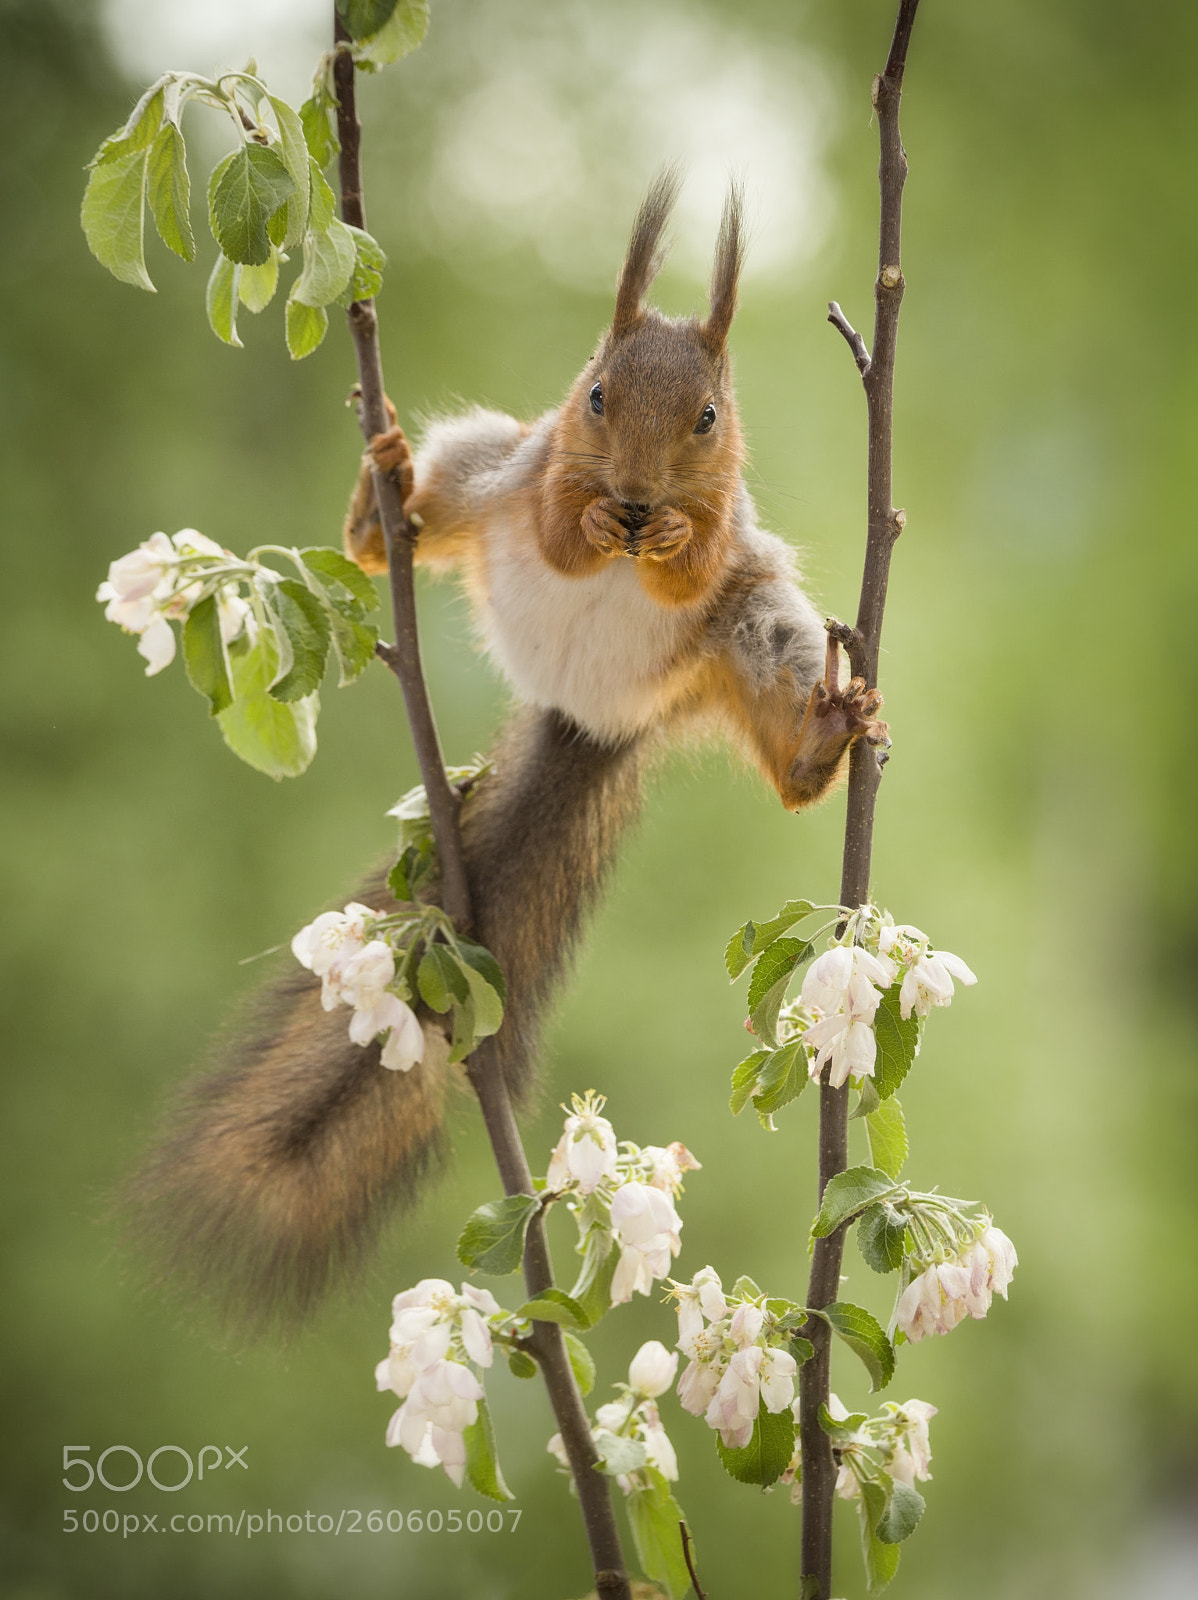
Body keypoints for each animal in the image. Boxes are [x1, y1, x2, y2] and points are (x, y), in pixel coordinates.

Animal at [125, 172, 886, 1332]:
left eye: (710, 417)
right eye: (595, 395)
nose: (634, 497)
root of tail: (591, 709)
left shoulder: (730, 525)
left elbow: (697, 552)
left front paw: (670, 541)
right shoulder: (537, 466)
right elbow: (559, 531)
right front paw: (590, 523)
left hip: (758, 630)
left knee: (789, 737)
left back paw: (825, 738)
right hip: (481, 470)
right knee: (422, 509)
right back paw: (380, 500)